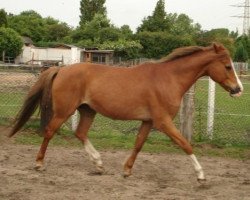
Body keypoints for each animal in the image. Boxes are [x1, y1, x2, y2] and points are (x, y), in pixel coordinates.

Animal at [8, 43, 243, 181]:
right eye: (227, 66)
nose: (238, 89)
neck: (168, 79)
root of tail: (61, 68)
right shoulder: (163, 121)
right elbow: (185, 144)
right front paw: (201, 175)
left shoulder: (148, 121)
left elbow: (138, 144)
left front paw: (127, 170)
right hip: (64, 111)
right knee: (49, 132)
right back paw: (39, 164)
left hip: (88, 111)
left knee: (80, 133)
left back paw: (99, 164)